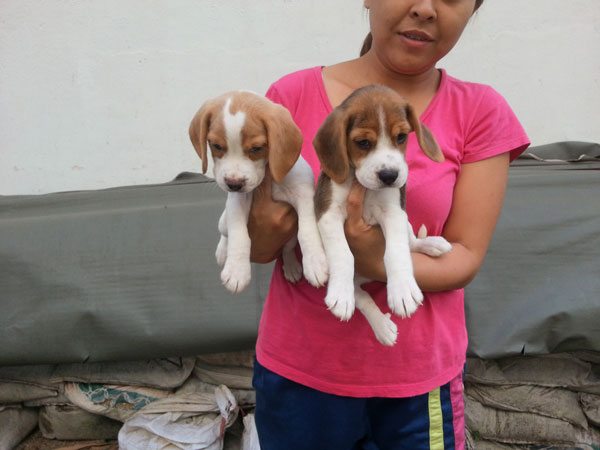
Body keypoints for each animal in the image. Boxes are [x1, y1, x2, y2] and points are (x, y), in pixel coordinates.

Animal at [189, 91, 328, 293]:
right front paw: (237, 270)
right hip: (224, 218)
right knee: (225, 232)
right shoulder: (237, 202)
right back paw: (223, 252)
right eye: (216, 146)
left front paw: (315, 262)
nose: (233, 184)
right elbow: (239, 234)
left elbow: (307, 230)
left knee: (287, 248)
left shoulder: (304, 195)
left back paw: (291, 266)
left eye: (256, 148)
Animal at [313, 85, 452, 345]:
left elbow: (396, 251)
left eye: (402, 137)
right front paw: (340, 294)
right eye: (363, 142)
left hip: (406, 222)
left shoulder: (394, 212)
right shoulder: (328, 214)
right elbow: (343, 254)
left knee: (411, 243)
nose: (389, 175)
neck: (366, 188)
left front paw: (403, 289)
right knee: (362, 297)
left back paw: (432, 245)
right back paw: (381, 326)